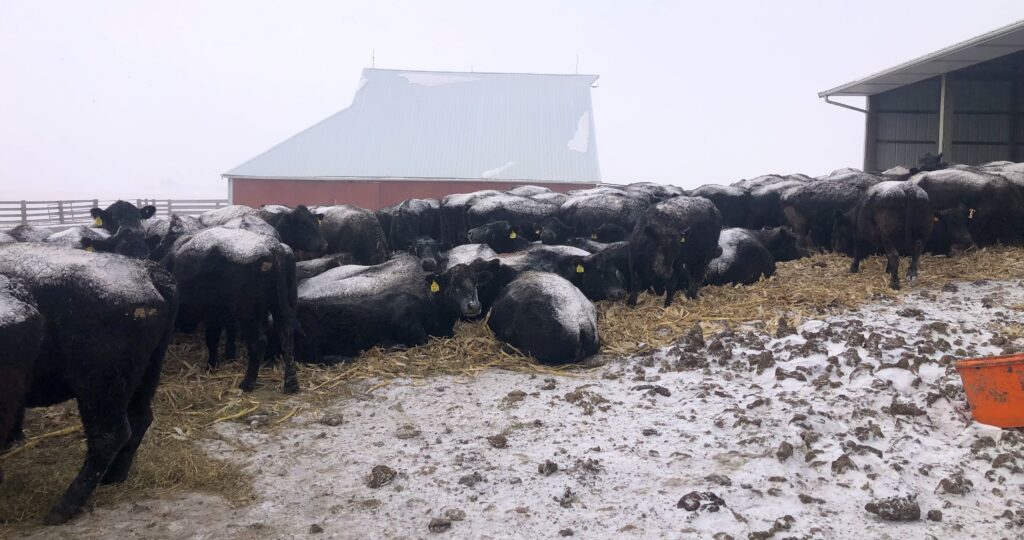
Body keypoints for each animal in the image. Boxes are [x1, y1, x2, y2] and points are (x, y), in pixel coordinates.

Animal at [0, 244, 177, 524]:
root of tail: (147, 272)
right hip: (143, 379)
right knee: (139, 420)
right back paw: (112, 479)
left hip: (98, 389)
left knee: (108, 436)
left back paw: (63, 508)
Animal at [165, 227, 299, 393]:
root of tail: (271, 246)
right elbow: (229, 330)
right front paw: (228, 356)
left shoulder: (214, 310)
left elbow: (212, 337)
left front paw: (212, 365)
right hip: (280, 305)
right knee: (287, 335)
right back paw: (291, 383)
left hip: (247, 313)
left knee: (259, 342)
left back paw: (247, 383)